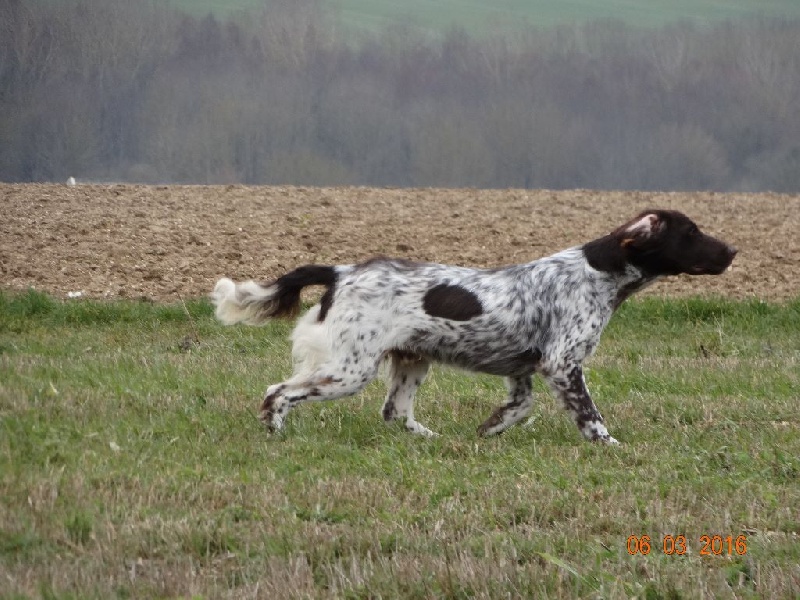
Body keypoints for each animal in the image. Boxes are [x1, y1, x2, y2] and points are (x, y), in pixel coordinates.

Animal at [211, 209, 736, 442]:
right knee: (279, 390)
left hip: (409, 362)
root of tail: (342, 271)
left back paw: (431, 441)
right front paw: (611, 447)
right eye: (691, 232)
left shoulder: (523, 369)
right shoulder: (563, 364)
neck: (596, 273)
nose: (733, 250)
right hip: (349, 369)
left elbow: (519, 408)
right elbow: (592, 418)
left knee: (394, 412)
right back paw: (274, 429)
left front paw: (488, 430)